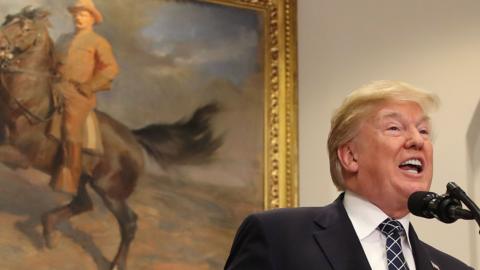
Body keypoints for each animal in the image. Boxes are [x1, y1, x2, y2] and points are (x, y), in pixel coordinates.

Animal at [0, 6, 220, 270]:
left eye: (26, 28)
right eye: (7, 19)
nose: (0, 43)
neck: (30, 104)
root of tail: (133, 138)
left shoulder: (19, 156)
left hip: (111, 192)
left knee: (129, 222)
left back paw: (116, 263)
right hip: (82, 177)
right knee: (83, 203)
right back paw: (49, 229)